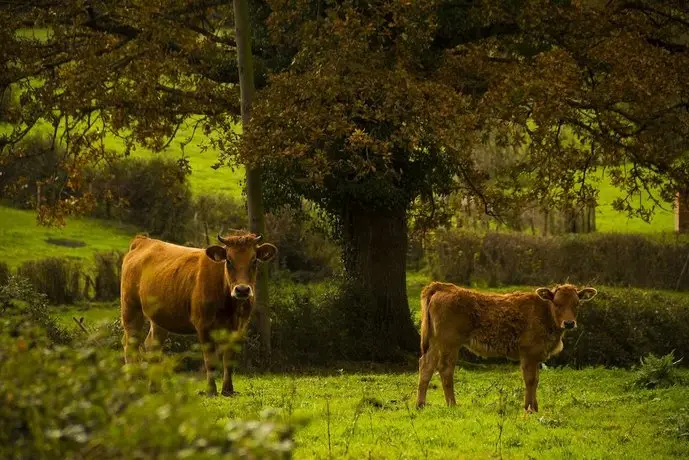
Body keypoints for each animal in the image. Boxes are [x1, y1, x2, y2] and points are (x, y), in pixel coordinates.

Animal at [120, 232, 276, 398]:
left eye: (254, 261)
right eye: (228, 260)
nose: (242, 290)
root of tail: (143, 241)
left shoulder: (239, 327)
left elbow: (229, 358)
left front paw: (228, 389)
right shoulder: (203, 325)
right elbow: (210, 360)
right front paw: (211, 390)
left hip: (159, 317)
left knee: (152, 345)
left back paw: (155, 388)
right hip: (131, 308)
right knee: (130, 344)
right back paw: (132, 386)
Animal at [414, 282, 596, 412]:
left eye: (577, 303)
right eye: (557, 303)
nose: (569, 323)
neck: (544, 312)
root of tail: (442, 286)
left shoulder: (536, 355)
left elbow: (536, 380)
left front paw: (535, 407)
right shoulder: (528, 354)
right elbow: (530, 380)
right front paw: (529, 409)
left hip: (435, 342)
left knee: (426, 365)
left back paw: (420, 405)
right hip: (449, 343)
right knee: (445, 368)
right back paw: (452, 404)